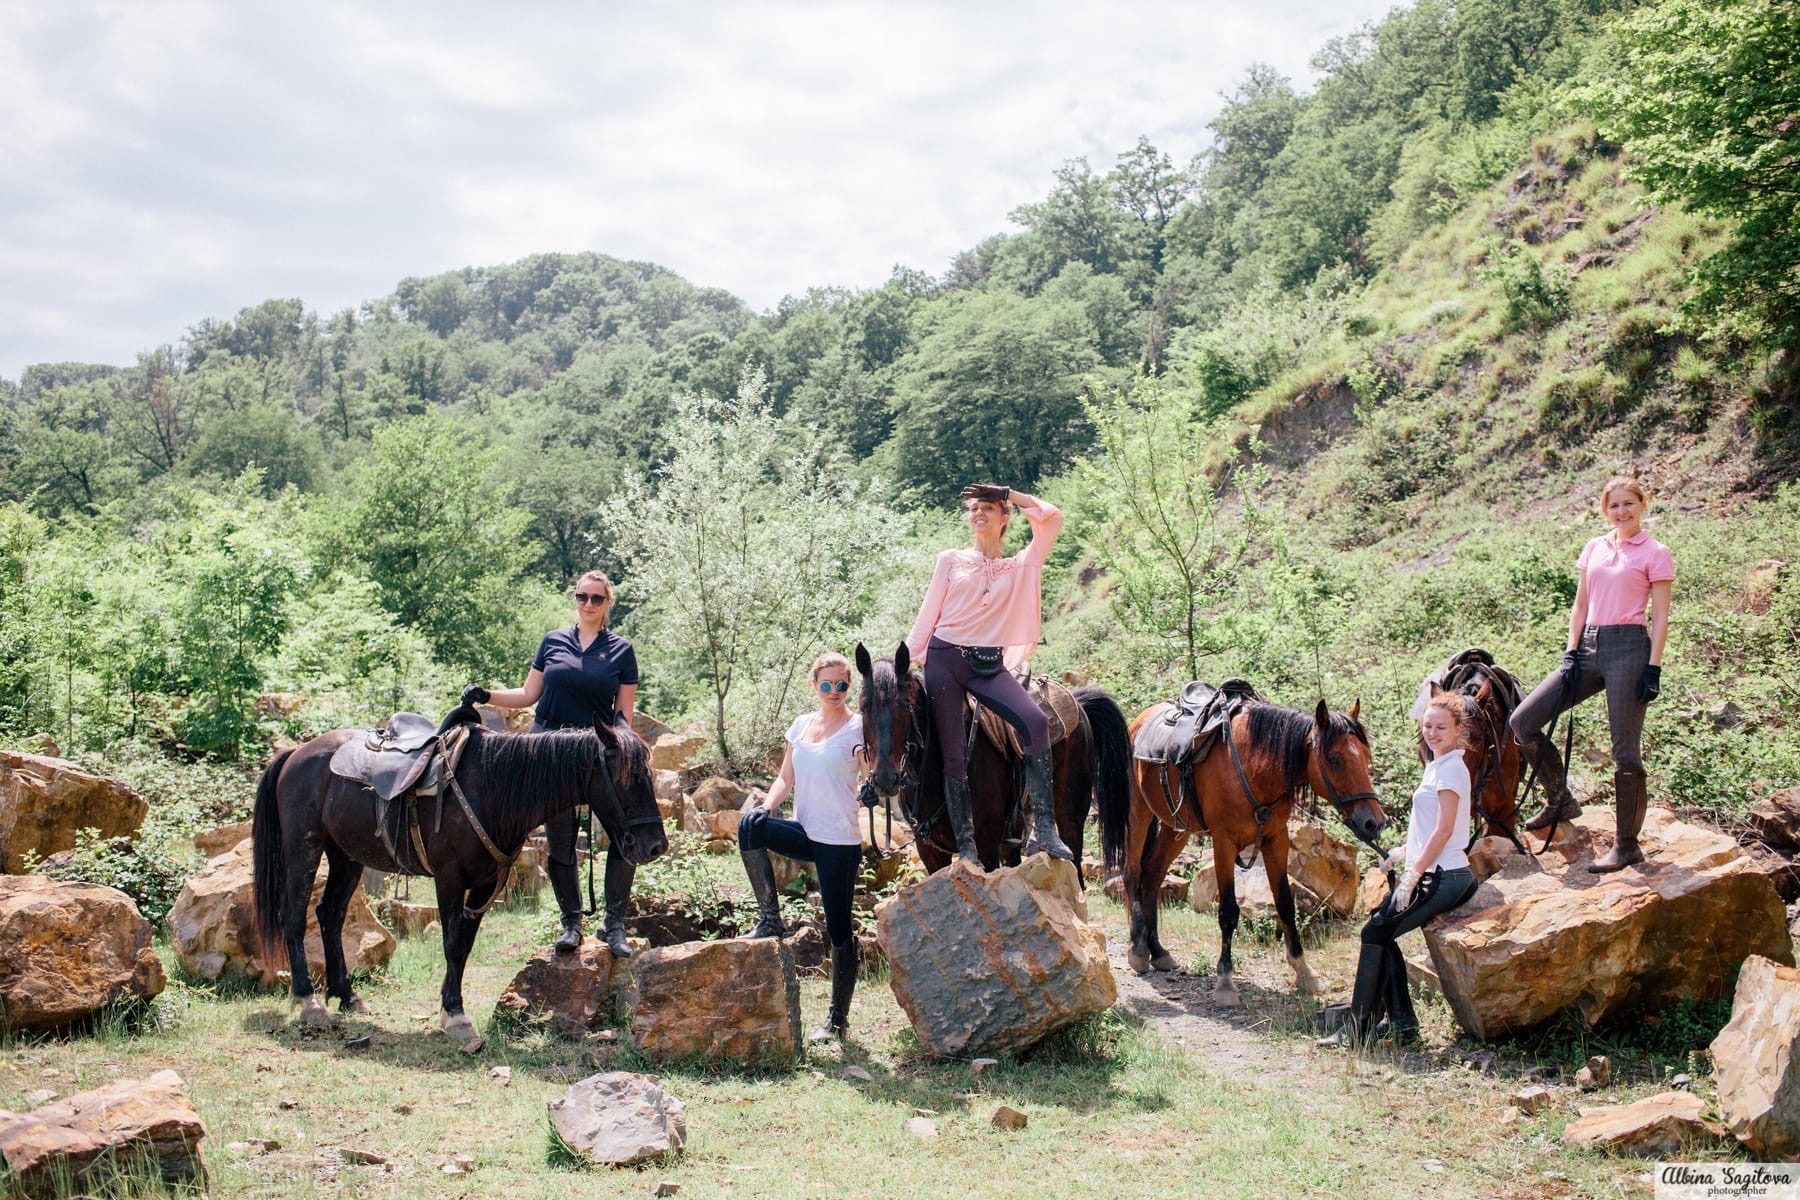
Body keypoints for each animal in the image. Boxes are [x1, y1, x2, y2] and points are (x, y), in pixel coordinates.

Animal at [253, 712, 669, 1043]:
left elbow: (464, 945)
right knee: (293, 917)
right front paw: (454, 1016)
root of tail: (296, 754)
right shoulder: (449, 878)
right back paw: (308, 1000)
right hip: (304, 846)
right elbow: (451, 944)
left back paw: (347, 995)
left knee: (330, 915)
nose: (656, 846)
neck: (492, 787)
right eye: (628, 778)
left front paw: (450, 1005)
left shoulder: (484, 883)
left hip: (346, 857)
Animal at [853, 644, 1130, 877]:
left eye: (904, 706)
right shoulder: (930, 852)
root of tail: (1077, 704)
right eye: (863, 707)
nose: (885, 778)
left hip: (1070, 817)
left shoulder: (986, 846)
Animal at [1094, 698, 1389, 1007]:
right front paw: (1225, 981)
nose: (1374, 822)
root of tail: (1137, 723)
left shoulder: (1276, 839)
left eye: (1365, 757)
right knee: (1132, 873)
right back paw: (1138, 950)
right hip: (1137, 815)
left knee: (1152, 875)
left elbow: (1286, 904)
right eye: (1333, 759)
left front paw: (1303, 971)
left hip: (1176, 828)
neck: (1255, 768)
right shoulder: (1224, 843)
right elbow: (1228, 911)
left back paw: (1158, 951)